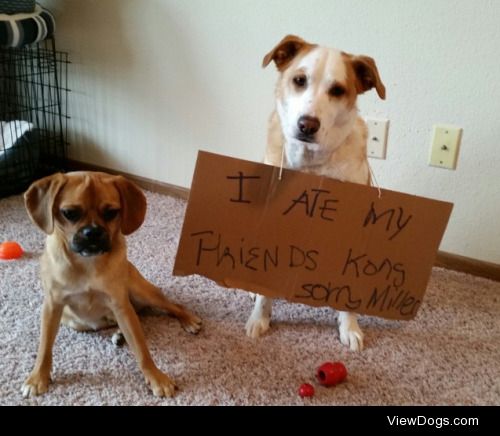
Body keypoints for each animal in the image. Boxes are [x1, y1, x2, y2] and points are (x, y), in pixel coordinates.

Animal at [21, 172, 201, 396]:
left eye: (111, 212)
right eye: (69, 213)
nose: (92, 232)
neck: (87, 262)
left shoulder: (121, 305)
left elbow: (142, 349)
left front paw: (155, 377)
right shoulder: (53, 306)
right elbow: (44, 346)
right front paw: (38, 377)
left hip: (141, 293)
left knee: (171, 306)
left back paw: (188, 320)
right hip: (75, 322)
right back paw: (119, 335)